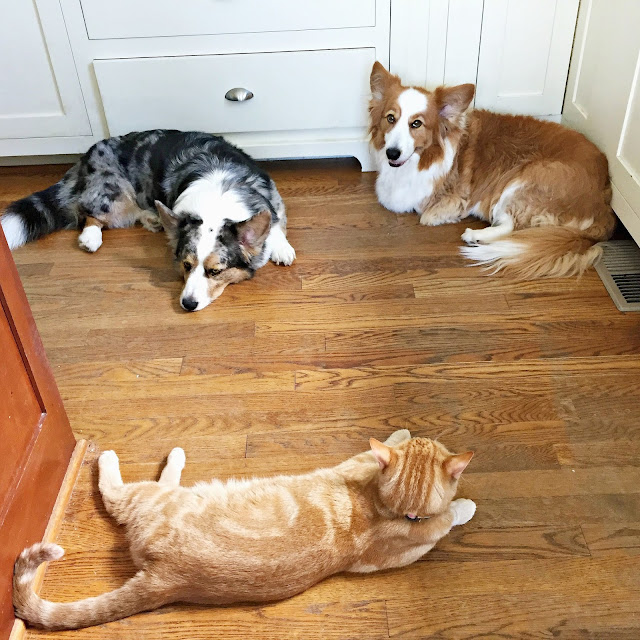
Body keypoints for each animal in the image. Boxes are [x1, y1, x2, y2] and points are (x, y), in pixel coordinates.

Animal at [13, 430, 476, 632]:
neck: (394, 511)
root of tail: (169, 579)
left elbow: (447, 514)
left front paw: (461, 506)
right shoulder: (359, 465)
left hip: (157, 498)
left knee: (125, 491)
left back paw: (157, 457)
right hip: (155, 499)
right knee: (118, 490)